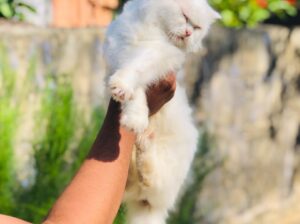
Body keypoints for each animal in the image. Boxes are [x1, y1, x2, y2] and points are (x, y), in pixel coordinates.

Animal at [104, 0, 219, 223]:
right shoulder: (121, 46)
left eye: (197, 28)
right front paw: (131, 110)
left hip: (168, 175)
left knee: (153, 182)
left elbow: (137, 70)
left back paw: (145, 142)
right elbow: (135, 89)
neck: (154, 31)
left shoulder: (158, 56)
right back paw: (142, 139)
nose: (188, 33)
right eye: (185, 16)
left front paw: (130, 109)